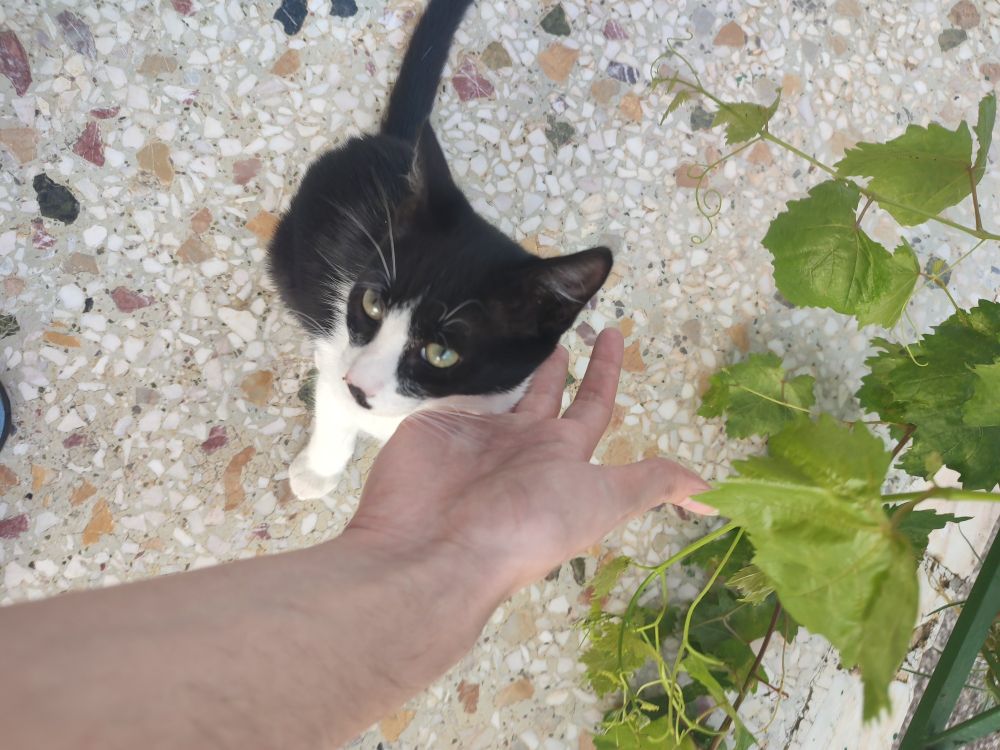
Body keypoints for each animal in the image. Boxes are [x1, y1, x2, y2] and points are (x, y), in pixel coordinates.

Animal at [268, 0, 613, 500]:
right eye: (371, 304)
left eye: (440, 354)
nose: (359, 386)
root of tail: (392, 141)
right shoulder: (336, 350)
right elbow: (332, 402)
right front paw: (319, 469)